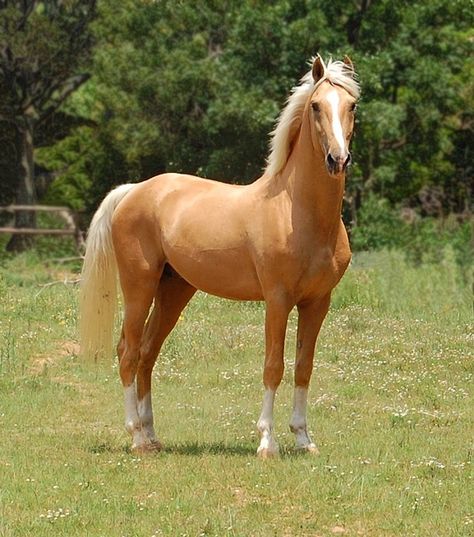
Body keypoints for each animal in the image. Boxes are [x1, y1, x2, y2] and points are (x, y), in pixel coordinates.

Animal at [79, 55, 360, 456]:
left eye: (351, 106)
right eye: (316, 106)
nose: (338, 159)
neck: (295, 211)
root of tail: (134, 190)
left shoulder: (318, 302)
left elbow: (303, 367)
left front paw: (304, 439)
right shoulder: (278, 300)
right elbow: (273, 366)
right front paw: (267, 442)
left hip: (174, 291)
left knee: (147, 353)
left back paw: (152, 434)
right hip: (139, 287)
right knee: (128, 352)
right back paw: (136, 437)